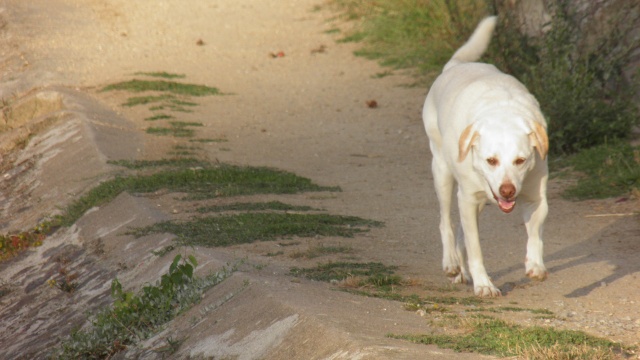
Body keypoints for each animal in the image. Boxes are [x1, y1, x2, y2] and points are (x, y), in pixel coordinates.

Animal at [424, 16, 552, 296]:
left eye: (520, 160)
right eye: (490, 160)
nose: (507, 190)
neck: (503, 112)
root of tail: (456, 65)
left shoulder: (535, 197)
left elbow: (535, 234)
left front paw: (535, 264)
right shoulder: (468, 199)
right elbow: (476, 249)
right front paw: (484, 284)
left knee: (461, 232)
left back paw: (462, 270)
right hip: (443, 173)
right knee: (446, 223)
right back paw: (451, 263)